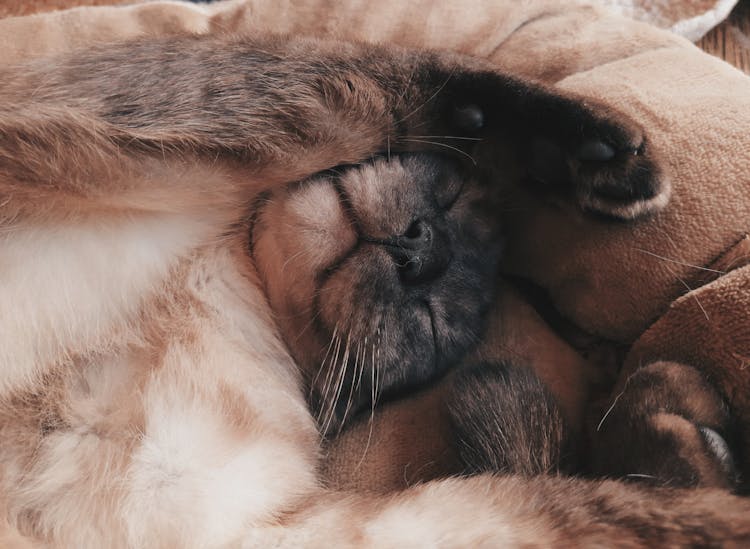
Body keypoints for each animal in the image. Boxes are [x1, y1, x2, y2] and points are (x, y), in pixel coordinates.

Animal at [0, 32, 748, 544]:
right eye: (448, 204)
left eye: (432, 321)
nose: (423, 250)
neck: (226, 266)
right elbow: (406, 83)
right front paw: (597, 158)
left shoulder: (259, 523)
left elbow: (628, 509)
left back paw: (682, 408)